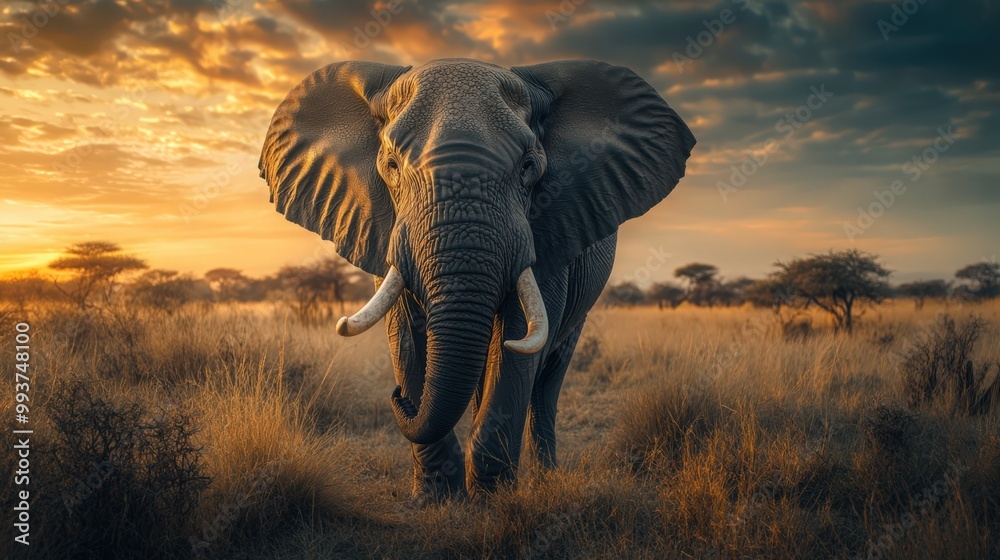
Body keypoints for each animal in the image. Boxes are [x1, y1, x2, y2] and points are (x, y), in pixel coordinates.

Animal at [259, 58, 695, 500]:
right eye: (392, 167)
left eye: (529, 168)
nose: (397, 397)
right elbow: (404, 331)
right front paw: (437, 497)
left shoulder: (550, 229)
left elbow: (516, 341)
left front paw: (493, 498)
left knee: (549, 378)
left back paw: (545, 477)